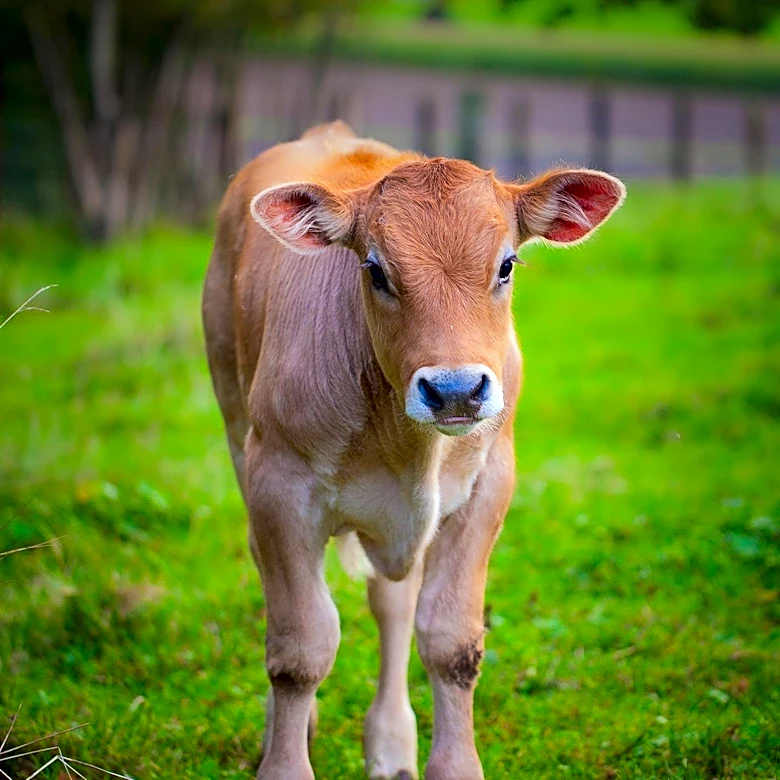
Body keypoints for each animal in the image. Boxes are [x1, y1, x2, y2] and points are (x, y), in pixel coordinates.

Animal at [202, 120, 625, 780]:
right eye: (376, 270)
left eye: (507, 265)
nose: (454, 389)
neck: (405, 445)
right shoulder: (279, 488)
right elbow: (300, 649)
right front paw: (285, 756)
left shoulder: (487, 487)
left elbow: (450, 642)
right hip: (237, 427)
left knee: (394, 604)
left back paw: (392, 744)